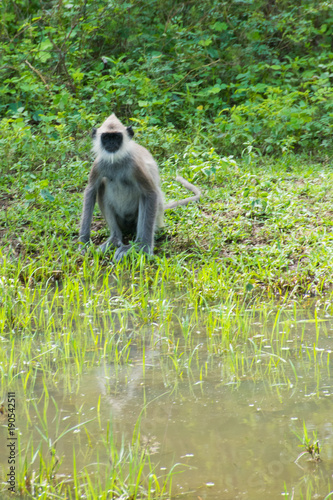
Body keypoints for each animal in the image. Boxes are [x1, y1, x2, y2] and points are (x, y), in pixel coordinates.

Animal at [79, 113, 201, 262]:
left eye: (117, 137)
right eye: (106, 137)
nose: (111, 144)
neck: (116, 161)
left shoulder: (135, 165)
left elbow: (150, 194)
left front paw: (145, 247)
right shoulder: (98, 164)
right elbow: (90, 191)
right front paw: (83, 243)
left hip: (154, 216)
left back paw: (136, 245)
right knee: (102, 186)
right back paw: (115, 239)